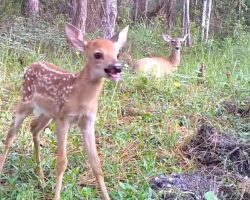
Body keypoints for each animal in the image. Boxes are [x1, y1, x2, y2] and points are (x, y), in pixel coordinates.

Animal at [0, 23, 129, 200]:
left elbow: (96, 163)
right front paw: (56, 196)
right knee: (11, 134)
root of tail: (29, 67)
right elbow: (62, 162)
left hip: (48, 113)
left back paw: (41, 179)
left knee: (33, 127)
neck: (81, 98)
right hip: (26, 101)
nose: (117, 67)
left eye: (117, 54)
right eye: (98, 54)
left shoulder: (88, 122)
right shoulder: (63, 119)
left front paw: (106, 196)